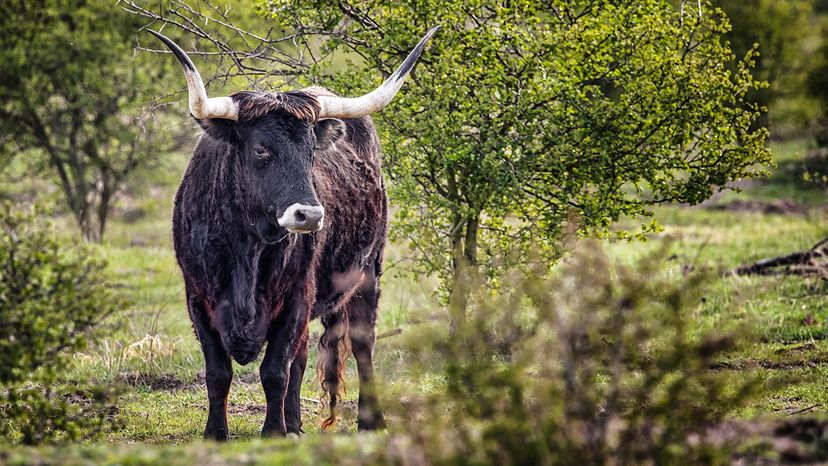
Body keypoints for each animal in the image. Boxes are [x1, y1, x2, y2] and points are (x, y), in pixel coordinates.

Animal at [149, 27, 437, 440]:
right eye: (260, 149)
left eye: (311, 150)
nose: (310, 214)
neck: (247, 248)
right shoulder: (197, 298)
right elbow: (219, 372)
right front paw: (216, 432)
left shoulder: (297, 296)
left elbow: (274, 371)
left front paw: (273, 431)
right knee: (300, 359)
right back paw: (296, 423)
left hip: (368, 273)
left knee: (362, 345)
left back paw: (370, 421)